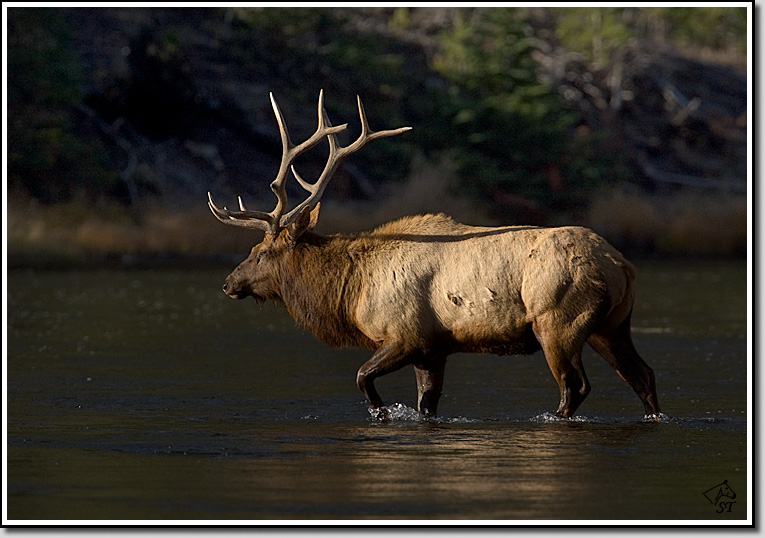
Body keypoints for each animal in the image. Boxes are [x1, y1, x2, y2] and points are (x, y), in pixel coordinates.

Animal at [208, 90, 661, 420]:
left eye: (261, 252)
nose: (229, 283)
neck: (350, 291)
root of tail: (621, 266)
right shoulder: (433, 351)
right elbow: (427, 405)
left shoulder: (406, 334)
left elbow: (362, 377)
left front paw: (381, 413)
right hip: (610, 325)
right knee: (643, 375)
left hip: (558, 322)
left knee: (575, 386)